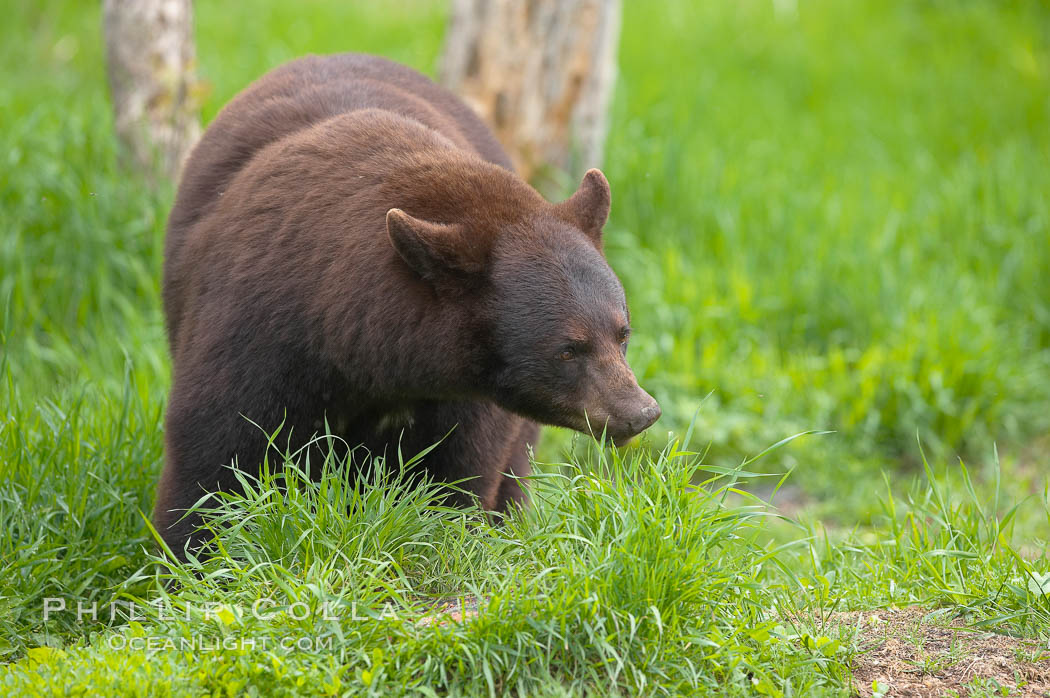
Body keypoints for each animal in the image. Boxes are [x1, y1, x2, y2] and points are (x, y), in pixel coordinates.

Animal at [152, 53, 659, 554]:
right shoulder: (258, 328)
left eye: (622, 333)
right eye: (568, 349)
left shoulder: (464, 403)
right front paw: (187, 555)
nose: (640, 411)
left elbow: (459, 476)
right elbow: (215, 453)